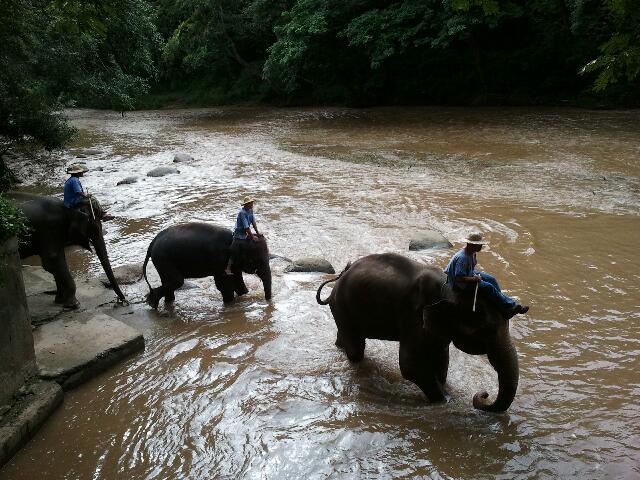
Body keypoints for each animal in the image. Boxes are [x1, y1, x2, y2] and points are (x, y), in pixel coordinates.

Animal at [142, 222, 272, 308]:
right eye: (255, 260)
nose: (268, 302)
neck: (235, 238)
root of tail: (152, 242)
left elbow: (238, 281)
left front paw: (244, 296)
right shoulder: (221, 261)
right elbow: (224, 285)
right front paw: (230, 304)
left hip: (162, 261)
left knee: (169, 282)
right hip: (164, 259)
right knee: (177, 281)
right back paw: (152, 302)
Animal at [316, 251, 520, 412]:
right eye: (487, 331)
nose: (484, 394)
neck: (448, 289)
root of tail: (340, 276)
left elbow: (441, 360)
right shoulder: (415, 317)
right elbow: (411, 366)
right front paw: (447, 402)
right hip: (343, 307)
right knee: (356, 350)